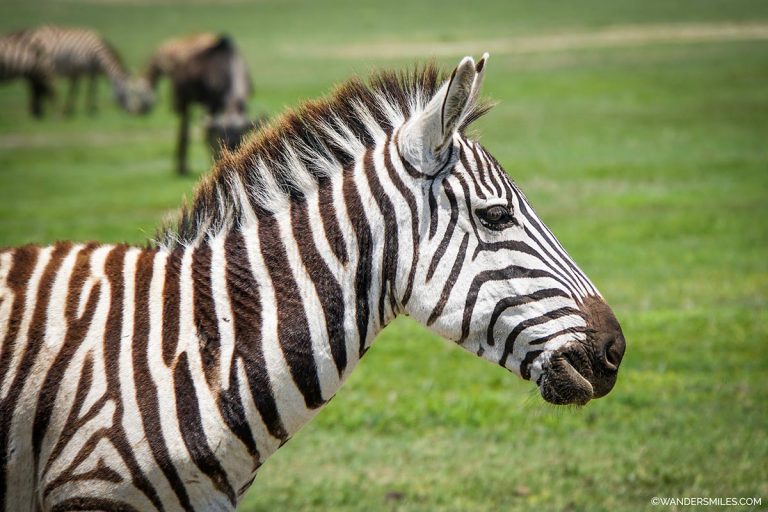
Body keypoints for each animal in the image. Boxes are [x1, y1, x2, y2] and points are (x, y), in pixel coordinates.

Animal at [8, 25, 149, 116]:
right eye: (129, 93)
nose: (133, 112)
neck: (97, 54)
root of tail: (27, 32)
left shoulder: (90, 72)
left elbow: (91, 88)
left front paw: (89, 108)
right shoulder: (79, 69)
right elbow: (78, 89)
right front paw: (82, 109)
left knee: (35, 85)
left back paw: (35, 109)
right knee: (33, 85)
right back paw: (35, 110)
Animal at [138, 33, 258, 175]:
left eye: (241, 139)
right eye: (222, 141)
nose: (231, 160)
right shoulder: (211, 104)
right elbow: (207, 135)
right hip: (184, 100)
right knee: (183, 129)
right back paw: (181, 167)